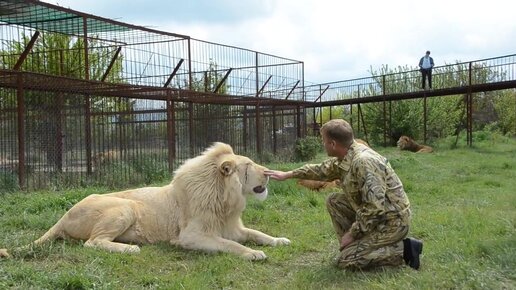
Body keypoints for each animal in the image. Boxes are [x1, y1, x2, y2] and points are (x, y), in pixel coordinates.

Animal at [0, 143, 290, 260]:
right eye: (249, 166)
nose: (268, 173)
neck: (225, 198)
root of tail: (64, 215)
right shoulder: (191, 236)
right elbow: (230, 245)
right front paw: (253, 253)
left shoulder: (232, 226)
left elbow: (256, 233)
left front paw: (280, 240)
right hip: (124, 207)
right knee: (92, 243)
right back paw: (129, 249)